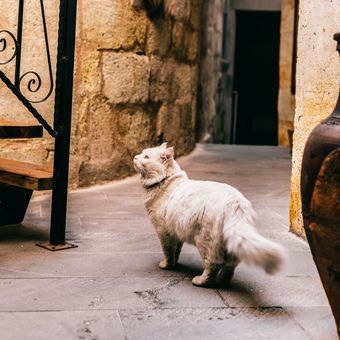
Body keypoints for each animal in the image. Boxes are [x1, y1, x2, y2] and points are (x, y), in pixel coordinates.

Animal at [133, 143, 284, 286]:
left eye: (145, 157)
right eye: (141, 153)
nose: (135, 157)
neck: (165, 181)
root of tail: (236, 202)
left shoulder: (164, 231)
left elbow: (168, 251)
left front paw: (167, 265)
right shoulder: (176, 231)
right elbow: (176, 250)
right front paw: (175, 264)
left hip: (205, 241)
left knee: (214, 264)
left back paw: (200, 281)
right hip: (228, 246)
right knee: (229, 266)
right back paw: (222, 282)